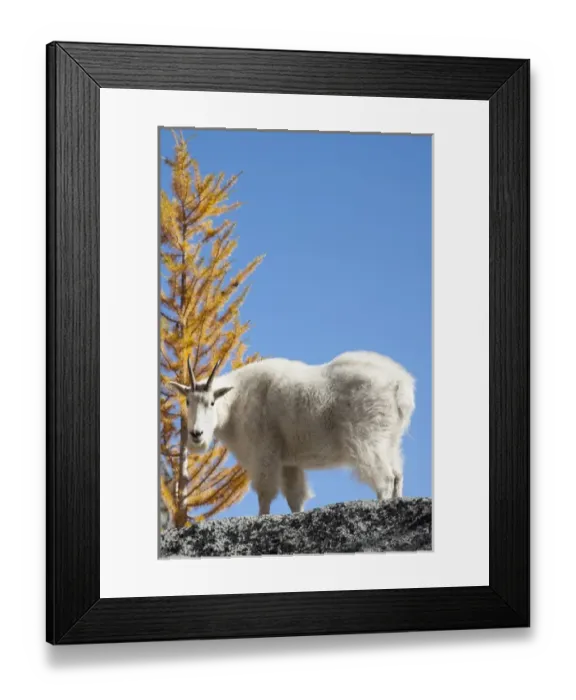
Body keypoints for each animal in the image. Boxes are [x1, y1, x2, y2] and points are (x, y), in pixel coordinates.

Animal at [169, 350, 415, 516]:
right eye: (188, 401)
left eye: (211, 402)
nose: (196, 434)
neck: (235, 401)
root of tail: (400, 384)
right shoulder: (289, 461)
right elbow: (295, 498)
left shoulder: (265, 451)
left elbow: (265, 493)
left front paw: (262, 518)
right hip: (389, 439)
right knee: (398, 475)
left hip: (367, 437)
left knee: (384, 477)